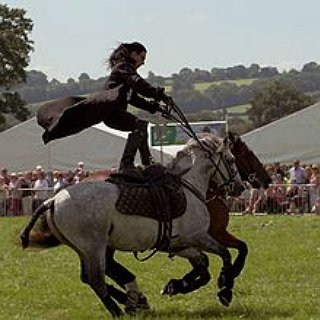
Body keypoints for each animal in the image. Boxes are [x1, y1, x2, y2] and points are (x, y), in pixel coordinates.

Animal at [21, 134, 244, 316]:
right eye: (231, 160)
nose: (240, 187)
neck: (188, 187)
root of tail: (52, 200)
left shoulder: (177, 244)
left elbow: (203, 264)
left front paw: (175, 286)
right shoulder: (198, 236)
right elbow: (225, 254)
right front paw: (225, 288)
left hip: (85, 248)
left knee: (91, 276)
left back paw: (133, 301)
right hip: (94, 247)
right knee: (95, 280)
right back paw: (121, 309)